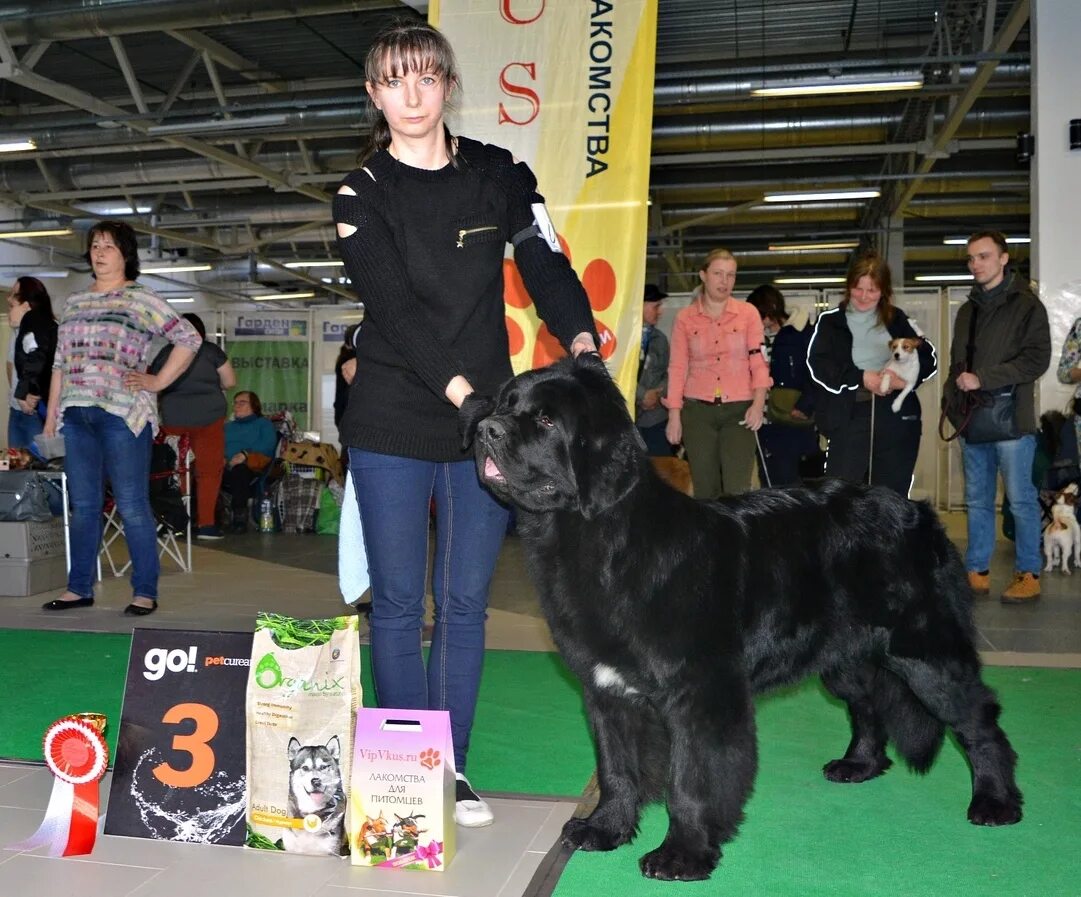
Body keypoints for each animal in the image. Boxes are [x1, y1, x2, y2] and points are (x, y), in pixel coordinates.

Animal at [471, 354, 1020, 881]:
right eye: (504, 404)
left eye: (546, 419)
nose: (484, 429)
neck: (605, 539)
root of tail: (920, 513)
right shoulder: (606, 690)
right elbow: (616, 767)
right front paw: (604, 828)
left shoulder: (702, 692)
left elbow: (691, 779)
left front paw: (682, 855)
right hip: (845, 659)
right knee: (867, 708)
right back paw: (858, 765)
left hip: (924, 655)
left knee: (978, 720)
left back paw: (996, 802)